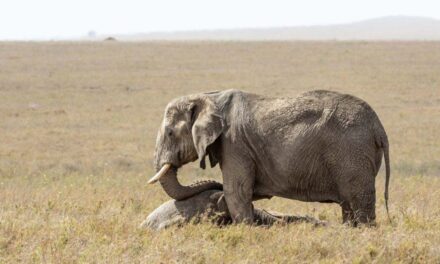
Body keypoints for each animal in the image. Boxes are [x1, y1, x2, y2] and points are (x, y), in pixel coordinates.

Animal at [150, 89, 390, 226]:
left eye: (170, 133)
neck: (209, 96)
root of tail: (378, 127)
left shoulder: (235, 144)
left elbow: (236, 191)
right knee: (349, 205)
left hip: (352, 153)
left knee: (360, 202)